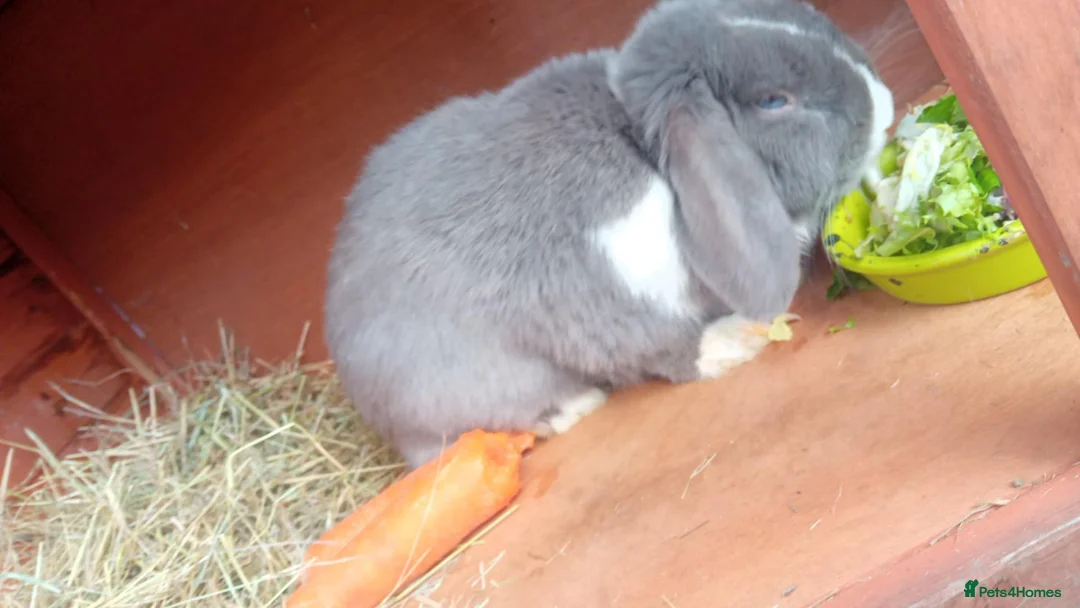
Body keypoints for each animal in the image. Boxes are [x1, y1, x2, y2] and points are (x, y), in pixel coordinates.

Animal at [325, 0, 896, 468]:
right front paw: (736, 341)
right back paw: (574, 407)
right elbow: (665, 347)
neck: (644, 150)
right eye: (775, 101)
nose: (885, 101)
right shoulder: (608, 300)